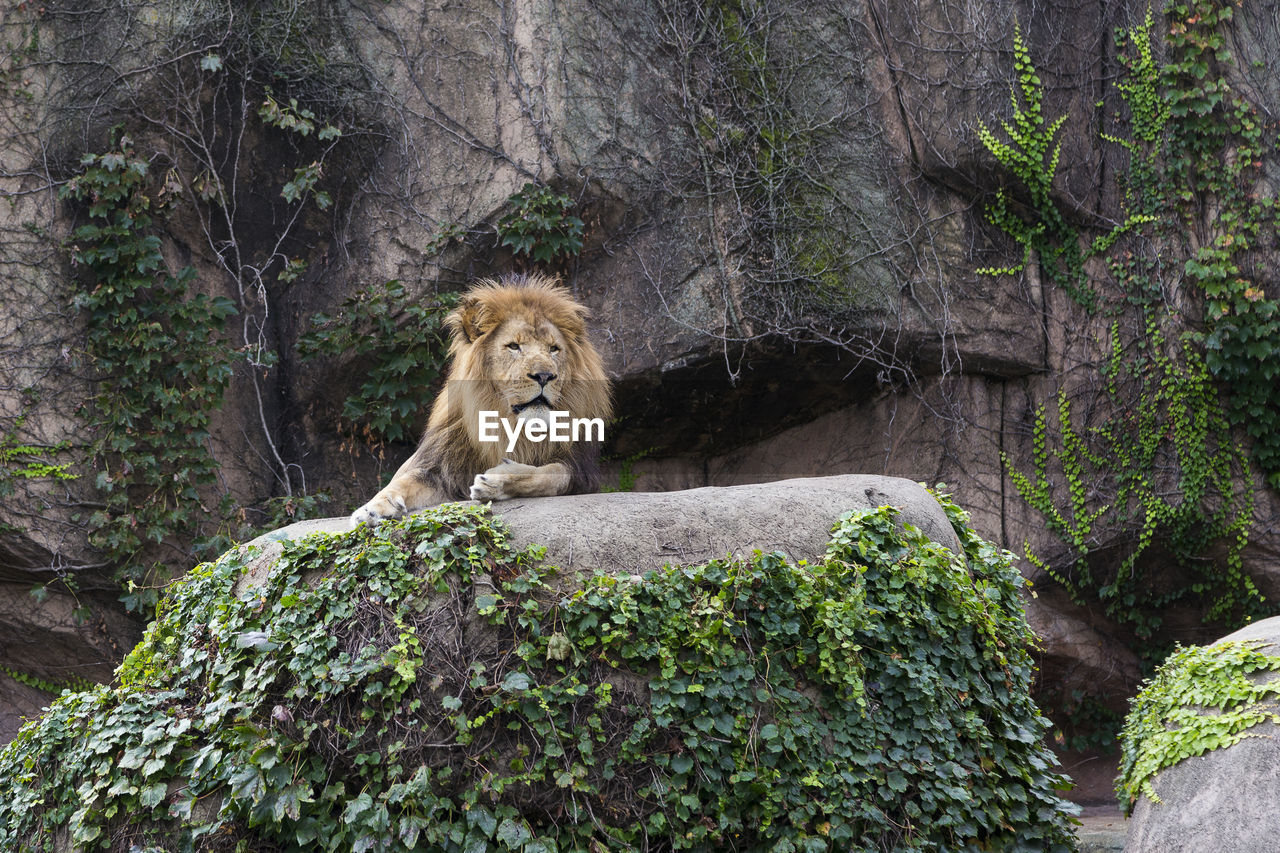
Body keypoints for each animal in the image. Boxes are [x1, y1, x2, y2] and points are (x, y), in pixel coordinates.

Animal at [348, 272, 611, 525]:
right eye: (514, 346)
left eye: (553, 349)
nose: (544, 375)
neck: (510, 423)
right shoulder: (438, 467)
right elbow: (402, 482)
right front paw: (372, 508)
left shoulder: (581, 471)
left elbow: (549, 474)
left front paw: (496, 480)